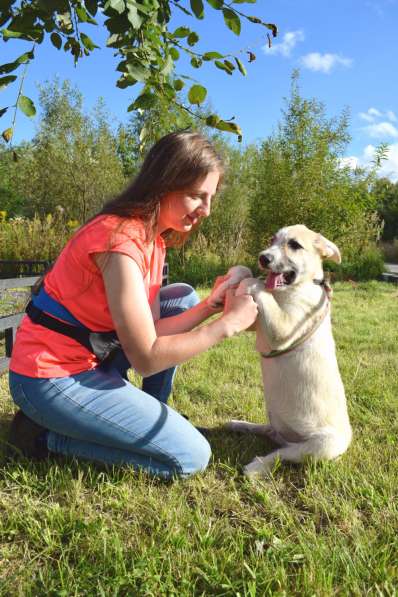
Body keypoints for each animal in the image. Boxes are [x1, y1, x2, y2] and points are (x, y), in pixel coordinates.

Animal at [225, 226, 352, 478]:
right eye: (272, 240)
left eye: (294, 245)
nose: (263, 258)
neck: (294, 288)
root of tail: (290, 439)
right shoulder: (256, 324)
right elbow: (251, 276)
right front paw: (237, 274)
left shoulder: (282, 329)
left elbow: (259, 285)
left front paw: (250, 282)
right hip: (276, 423)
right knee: (269, 432)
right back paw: (239, 424)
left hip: (321, 446)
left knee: (280, 455)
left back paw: (255, 466)